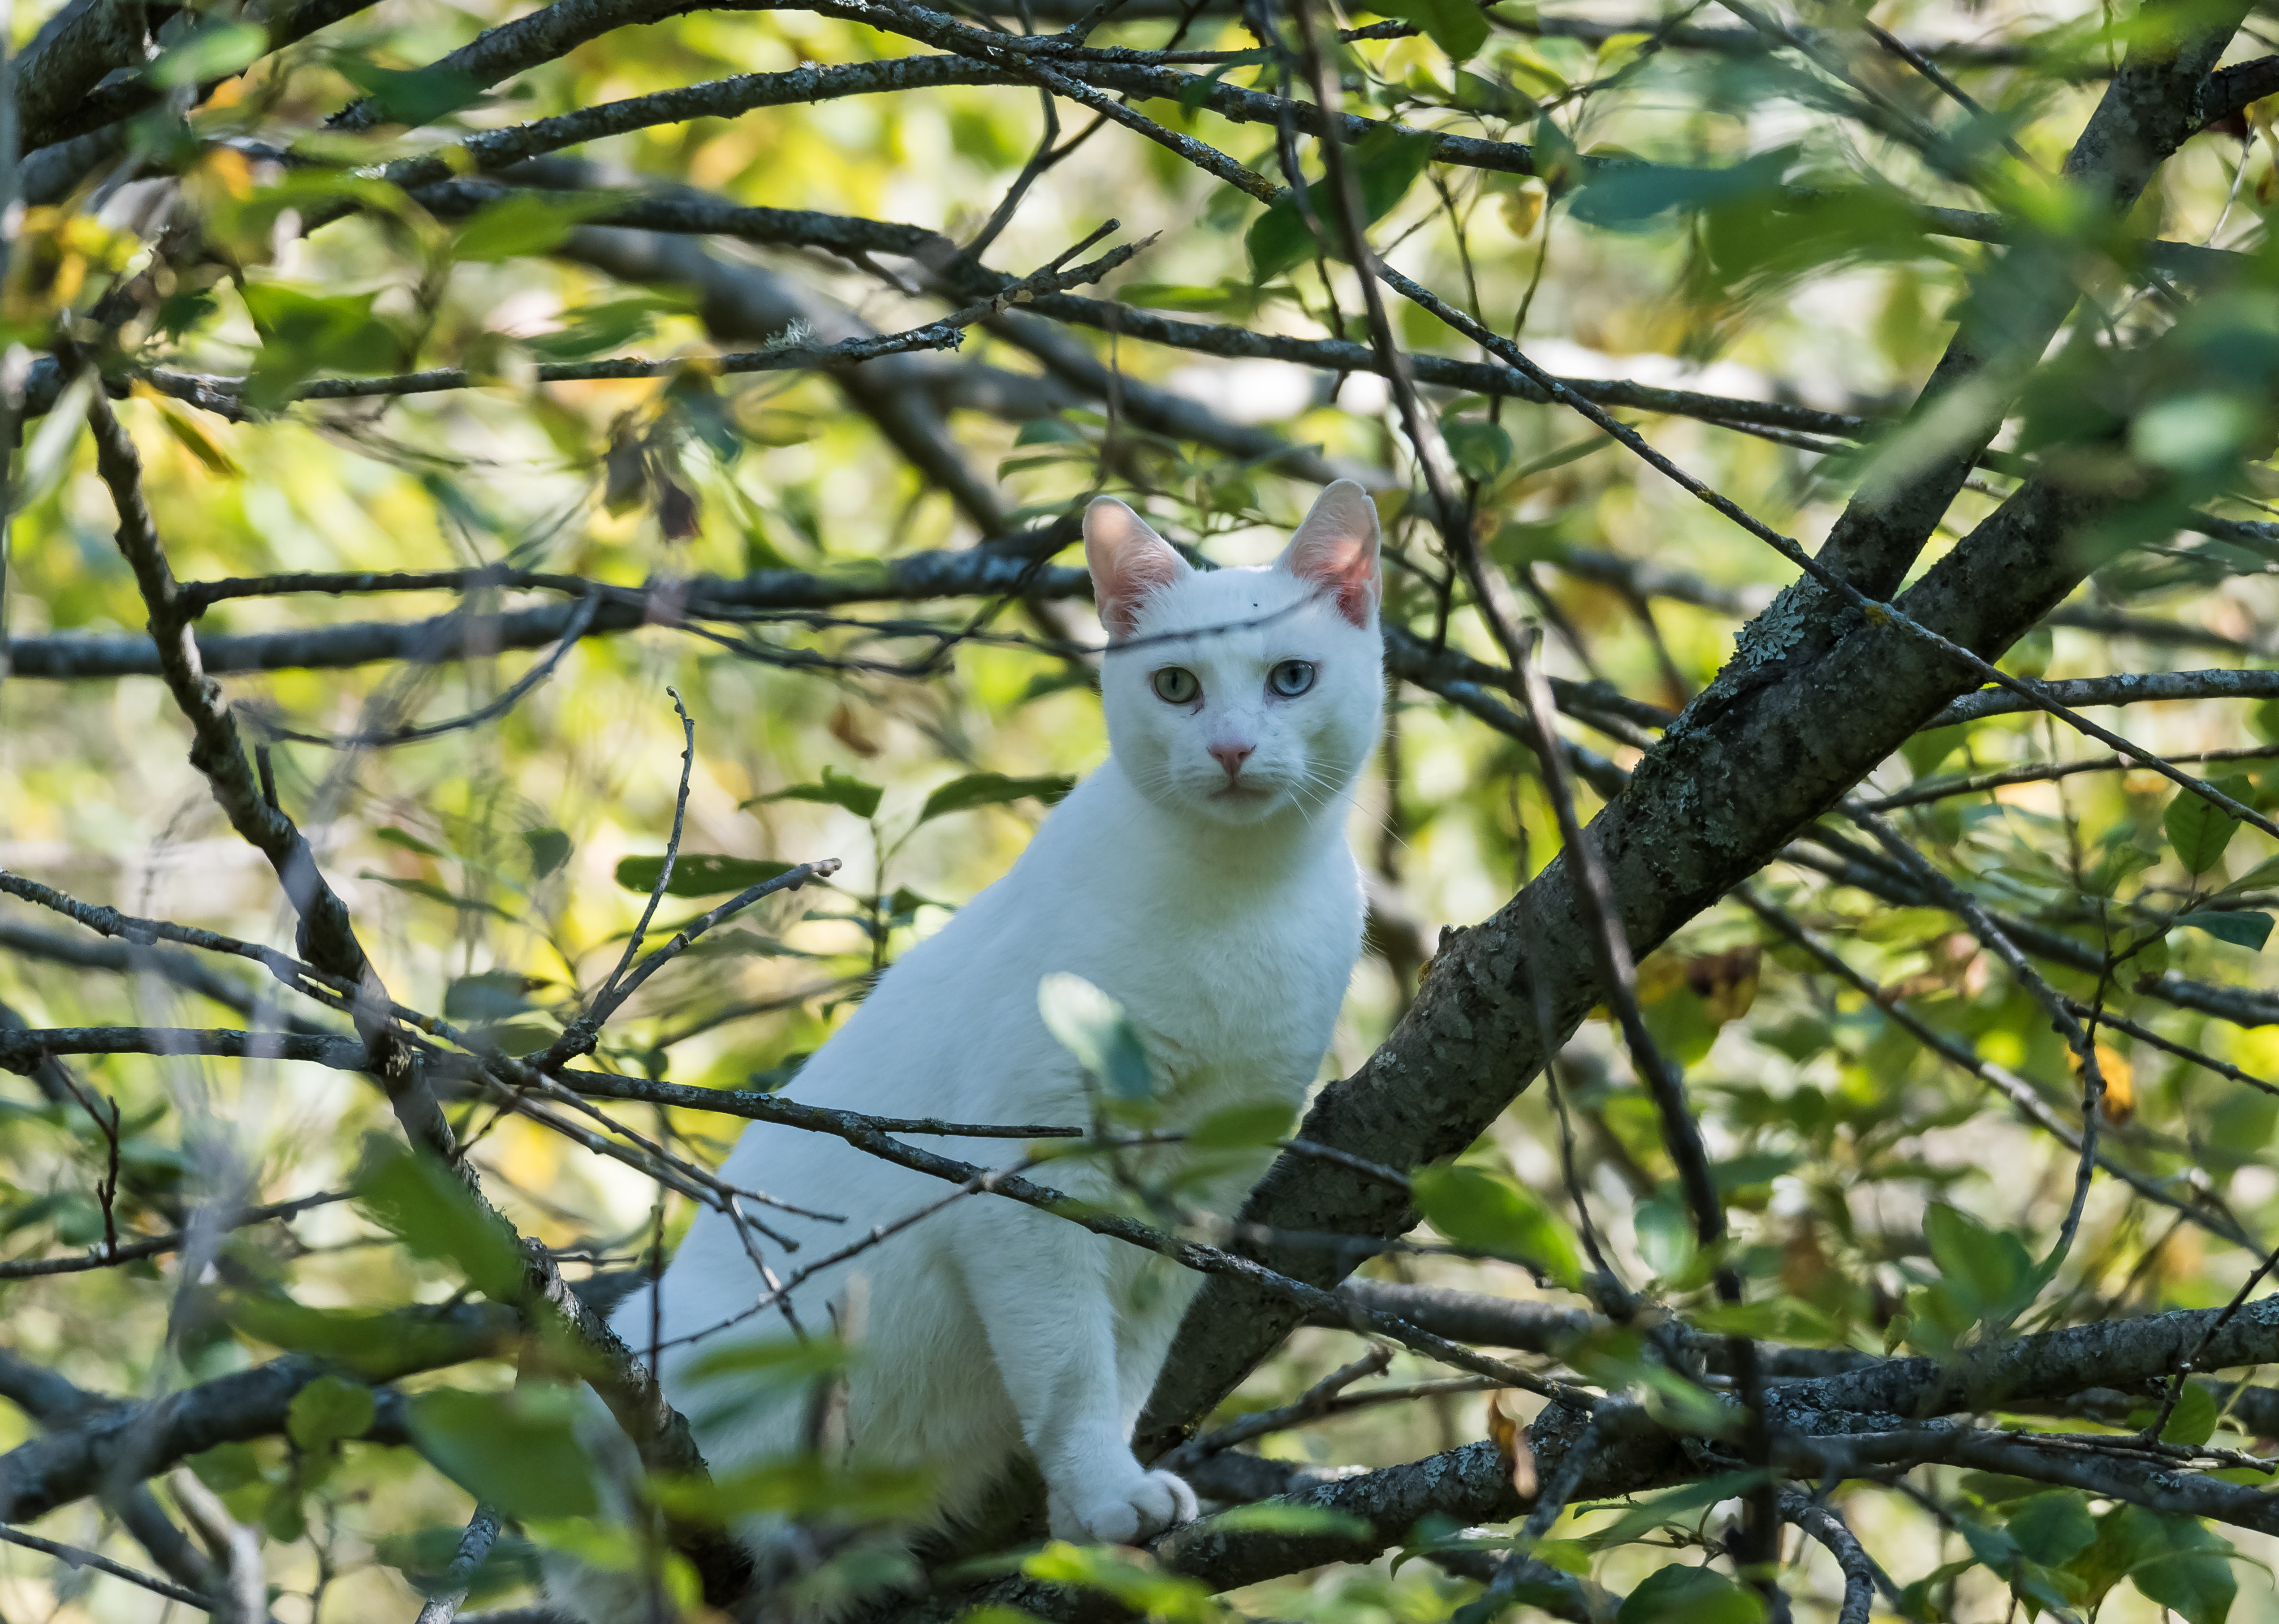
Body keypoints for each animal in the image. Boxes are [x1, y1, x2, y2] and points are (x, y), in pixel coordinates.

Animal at [547, 476, 1386, 1612]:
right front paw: (1105, 1491)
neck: (1237, 898)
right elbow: (1070, 1367)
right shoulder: (1027, 1180)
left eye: (1289, 679)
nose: (1228, 748)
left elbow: (1126, 1364)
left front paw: (1089, 1508)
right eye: (1175, 685)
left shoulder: (1194, 1194)